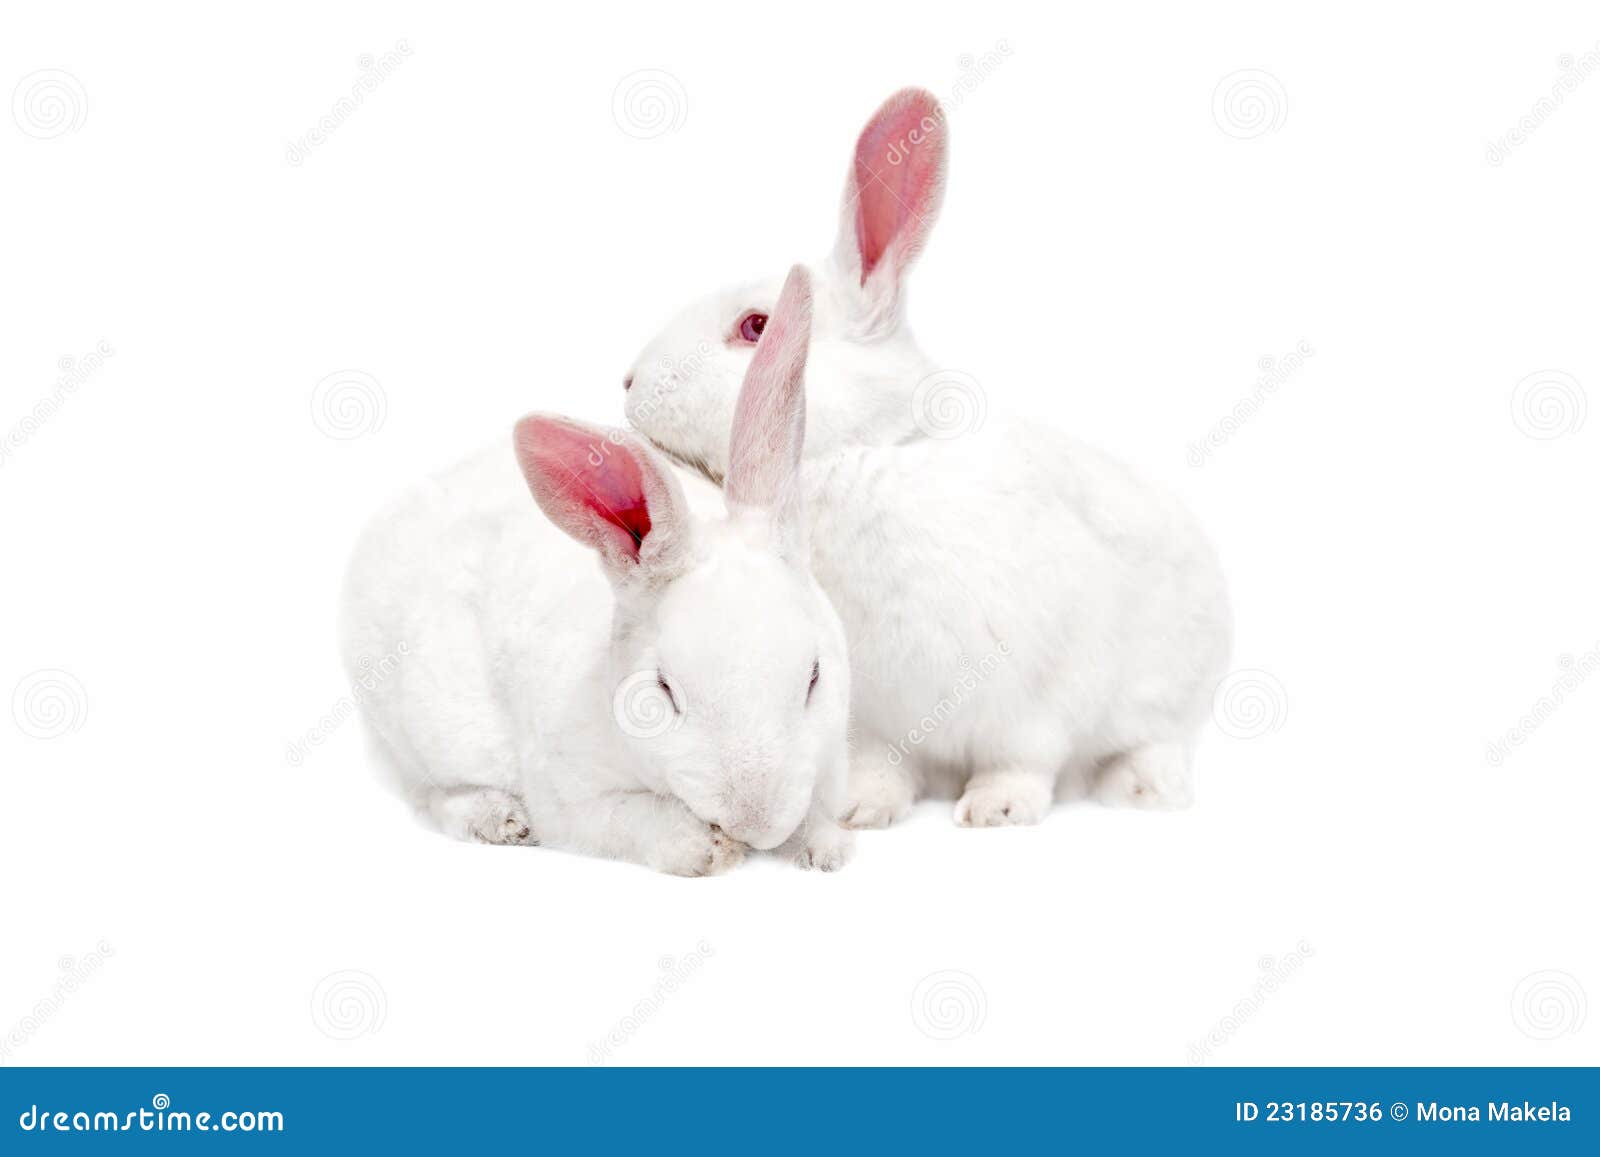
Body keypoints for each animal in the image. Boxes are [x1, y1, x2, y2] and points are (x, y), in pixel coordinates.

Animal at [339, 270, 854, 874]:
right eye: (663, 690)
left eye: (814, 676)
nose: (755, 821)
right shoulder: (570, 798)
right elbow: (631, 821)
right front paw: (709, 849)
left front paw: (824, 848)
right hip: (427, 732)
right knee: (432, 796)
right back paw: (501, 821)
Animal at [622, 89, 1232, 829]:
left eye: (755, 326)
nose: (628, 382)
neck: (868, 451)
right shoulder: (873, 712)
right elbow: (883, 762)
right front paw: (860, 807)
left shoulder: (1036, 694)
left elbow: (1023, 757)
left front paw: (998, 807)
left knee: (1153, 740)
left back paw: (1143, 788)